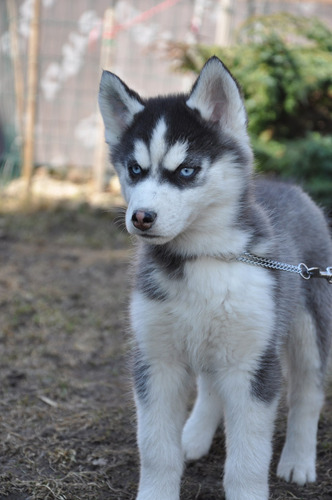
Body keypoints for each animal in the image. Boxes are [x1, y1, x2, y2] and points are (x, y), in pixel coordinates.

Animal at [98, 56, 332, 498]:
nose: (141, 217)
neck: (202, 256)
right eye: (134, 169)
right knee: (210, 388)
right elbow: (156, 448)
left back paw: (297, 459)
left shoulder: (252, 366)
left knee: (307, 393)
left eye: (187, 171)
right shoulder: (156, 361)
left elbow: (248, 460)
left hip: (309, 326)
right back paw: (193, 435)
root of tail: (291, 188)